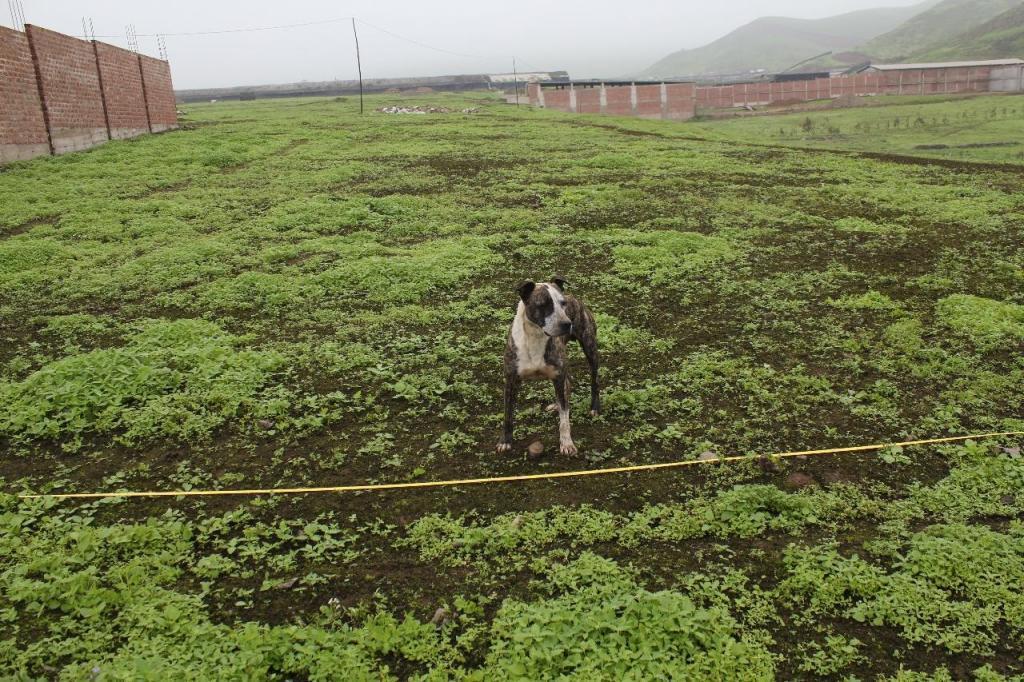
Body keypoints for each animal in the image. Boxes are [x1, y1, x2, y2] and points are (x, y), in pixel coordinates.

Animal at [495, 276, 598, 456]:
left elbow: (564, 419)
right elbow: (508, 414)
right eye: (543, 304)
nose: (567, 323)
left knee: (594, 380)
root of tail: (575, 298)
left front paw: (566, 443)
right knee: (568, 384)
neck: (536, 336)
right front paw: (505, 441)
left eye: (562, 304)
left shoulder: (558, 375)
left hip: (590, 348)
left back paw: (594, 407)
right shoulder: (511, 380)